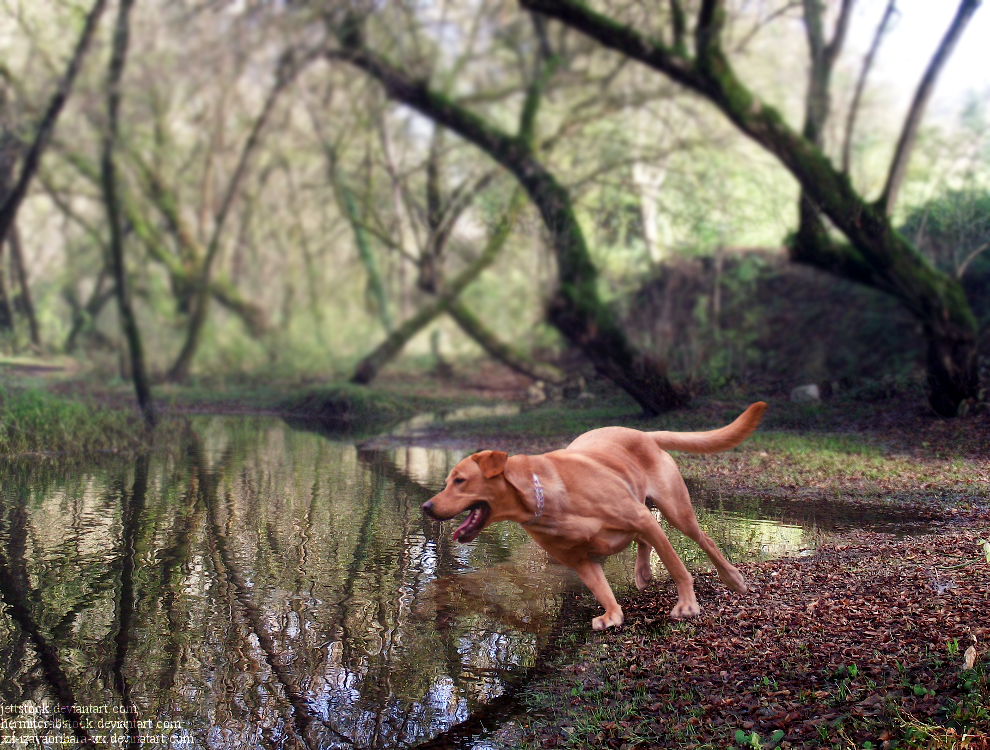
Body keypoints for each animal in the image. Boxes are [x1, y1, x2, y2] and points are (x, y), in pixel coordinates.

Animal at [422, 402, 772, 632]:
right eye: (448, 481)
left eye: (459, 480)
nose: (426, 506)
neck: (545, 501)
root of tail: (643, 434)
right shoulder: (580, 560)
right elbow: (601, 589)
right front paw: (613, 613)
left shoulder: (639, 518)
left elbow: (676, 567)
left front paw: (686, 602)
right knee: (646, 541)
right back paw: (643, 572)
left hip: (676, 511)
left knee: (704, 540)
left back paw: (732, 577)